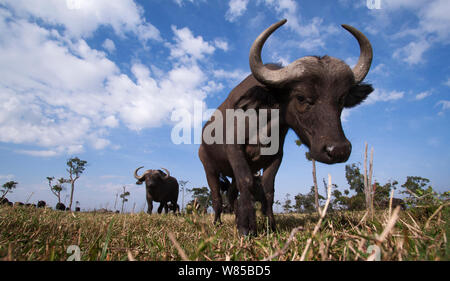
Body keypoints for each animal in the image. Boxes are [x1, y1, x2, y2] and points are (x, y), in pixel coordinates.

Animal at [199, 19, 374, 234]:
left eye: (340, 100)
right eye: (301, 97)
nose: (339, 150)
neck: (263, 122)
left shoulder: (276, 157)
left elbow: (267, 189)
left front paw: (270, 225)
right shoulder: (234, 151)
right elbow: (247, 182)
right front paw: (246, 228)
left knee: (232, 193)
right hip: (209, 168)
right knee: (216, 196)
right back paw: (217, 222)